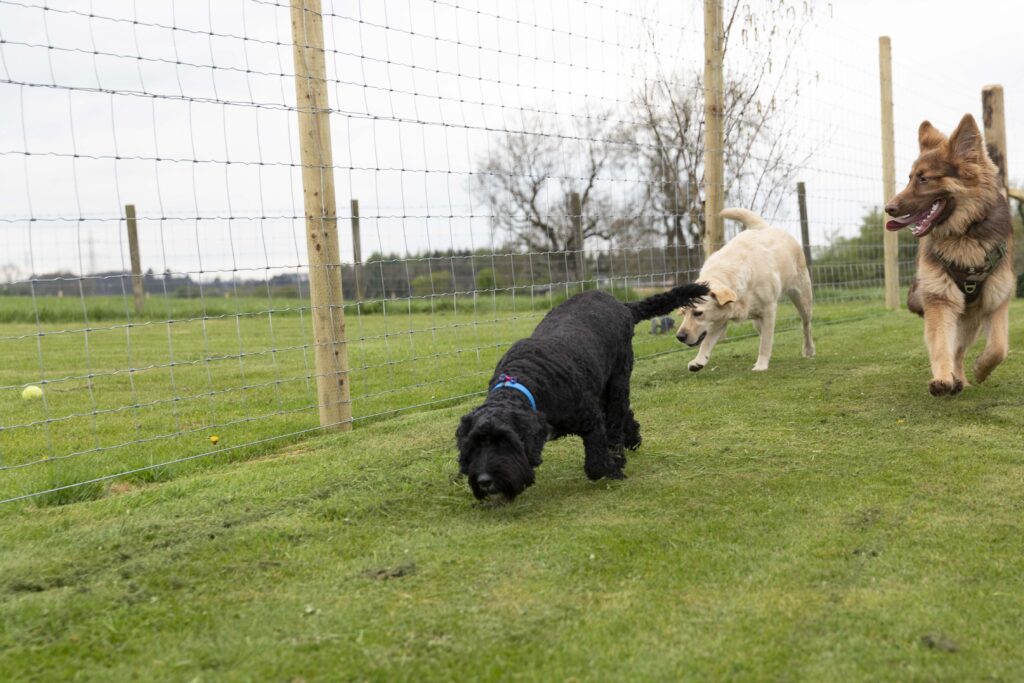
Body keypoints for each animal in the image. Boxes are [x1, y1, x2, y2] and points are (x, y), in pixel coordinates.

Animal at [458, 282, 708, 501]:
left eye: (505, 440)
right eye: (475, 443)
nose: (485, 480)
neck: (527, 382)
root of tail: (621, 304)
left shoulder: (590, 419)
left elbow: (596, 462)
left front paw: (614, 470)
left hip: (618, 378)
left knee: (616, 419)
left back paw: (620, 452)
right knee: (623, 413)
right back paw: (633, 438)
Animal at [884, 114, 1011, 397]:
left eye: (923, 179)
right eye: (910, 178)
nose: (889, 208)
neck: (964, 233)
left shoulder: (997, 298)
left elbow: (999, 347)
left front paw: (981, 369)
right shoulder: (940, 299)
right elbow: (941, 346)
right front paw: (942, 379)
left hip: (970, 321)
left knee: (960, 350)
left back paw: (962, 378)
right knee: (953, 349)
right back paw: (954, 380)